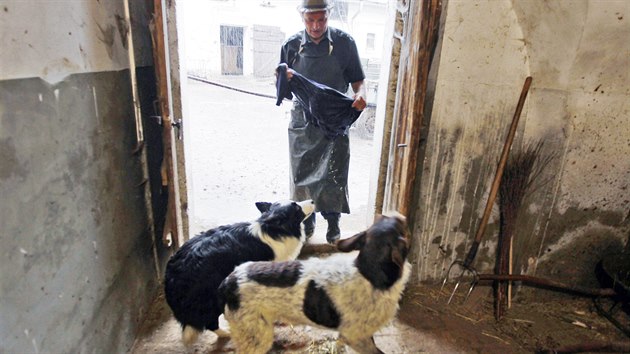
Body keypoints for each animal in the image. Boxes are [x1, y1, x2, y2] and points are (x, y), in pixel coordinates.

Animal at [164, 199, 314, 346]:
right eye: (296, 208)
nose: (312, 201)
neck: (275, 230)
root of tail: (173, 276)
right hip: (211, 296)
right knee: (210, 321)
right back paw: (225, 333)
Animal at [220, 212, 412, 352]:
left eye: (382, 218)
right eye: (401, 226)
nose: (401, 215)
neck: (368, 273)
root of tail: (228, 281)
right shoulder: (356, 336)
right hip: (256, 337)